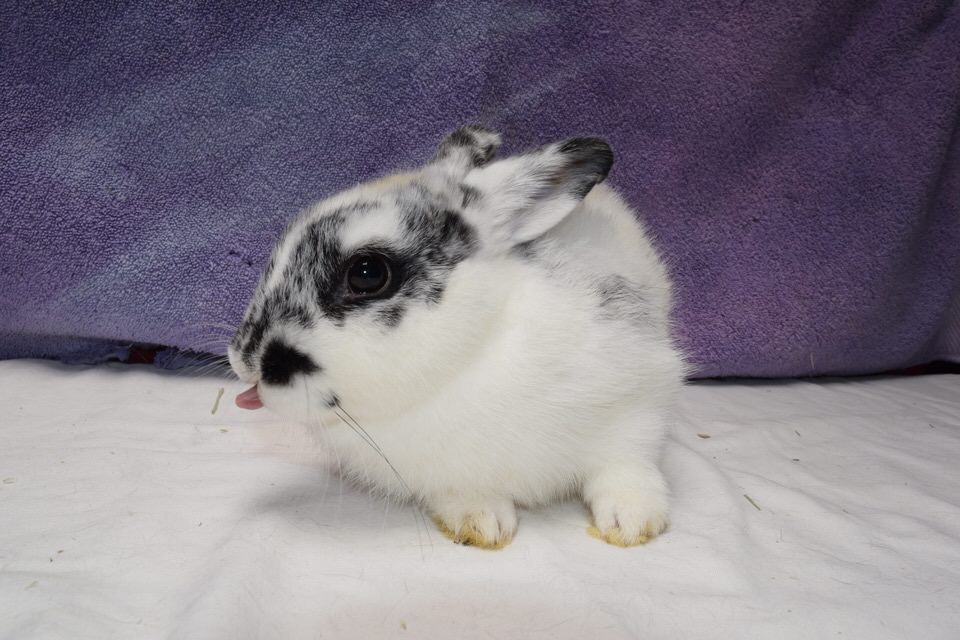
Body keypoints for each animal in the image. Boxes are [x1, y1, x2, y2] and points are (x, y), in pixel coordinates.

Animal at [229, 126, 686, 549]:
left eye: (367, 273)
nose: (244, 360)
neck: (471, 356)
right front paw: (484, 525)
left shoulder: (638, 402)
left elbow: (625, 464)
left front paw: (633, 522)